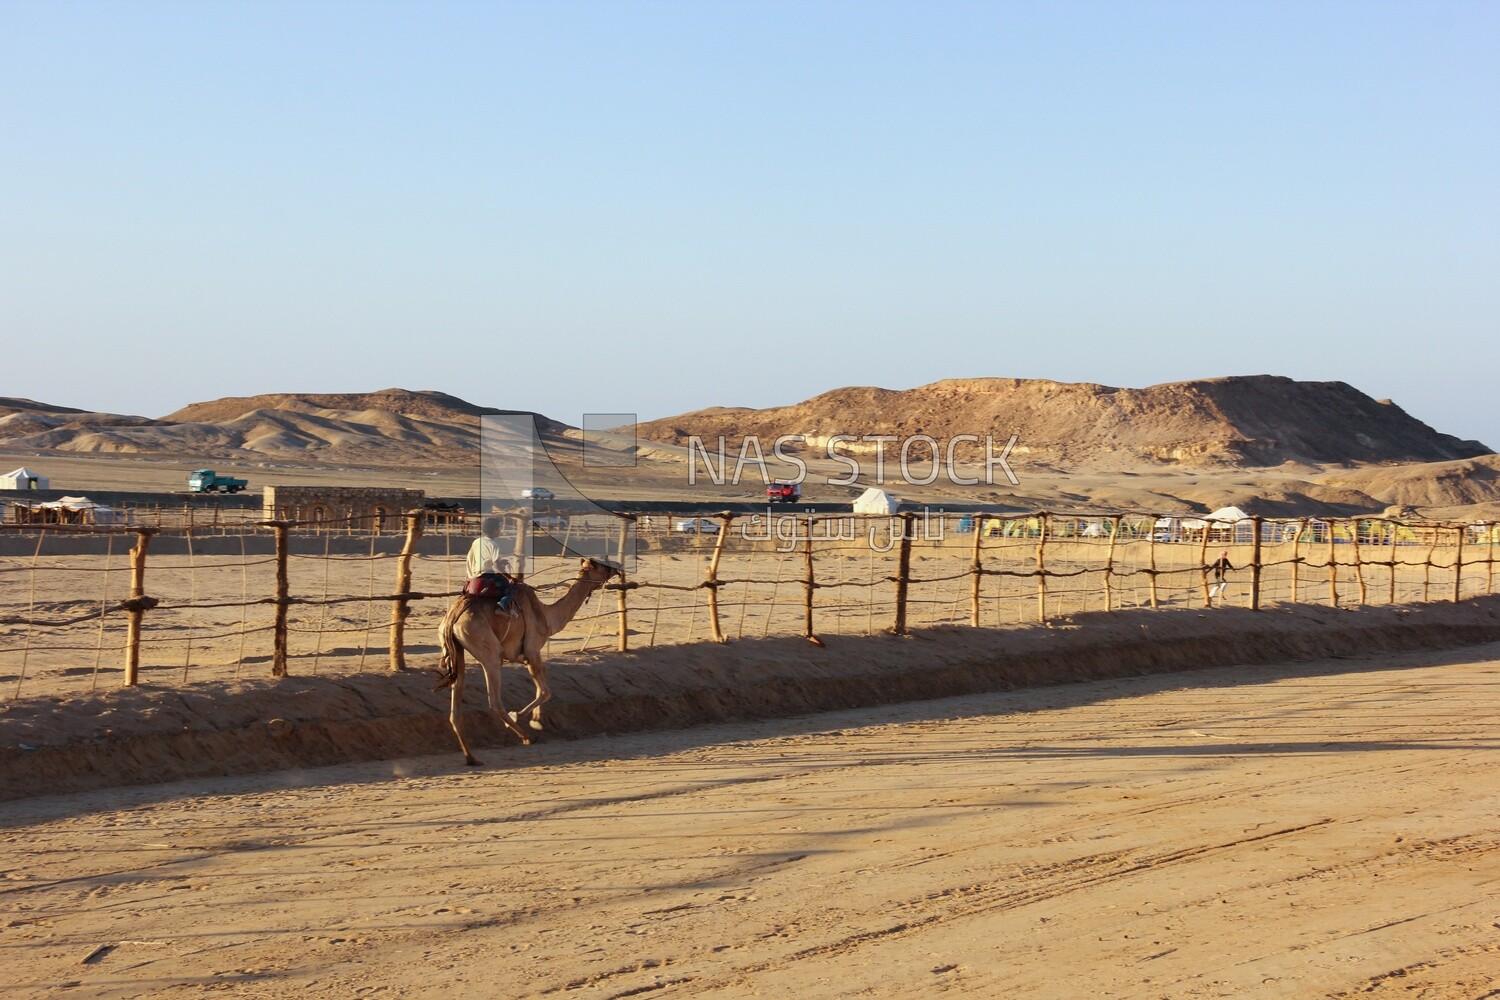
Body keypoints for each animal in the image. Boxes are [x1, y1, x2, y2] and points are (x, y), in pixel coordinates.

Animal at [435, 554, 621, 767]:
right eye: (600, 565)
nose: (617, 567)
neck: (547, 617)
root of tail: (452, 618)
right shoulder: (532, 650)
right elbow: (546, 690)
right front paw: (525, 718)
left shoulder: (527, 657)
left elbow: (543, 682)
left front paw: (537, 719)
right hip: (488, 650)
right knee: (494, 699)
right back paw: (526, 737)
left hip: (454, 650)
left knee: (456, 708)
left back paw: (471, 757)